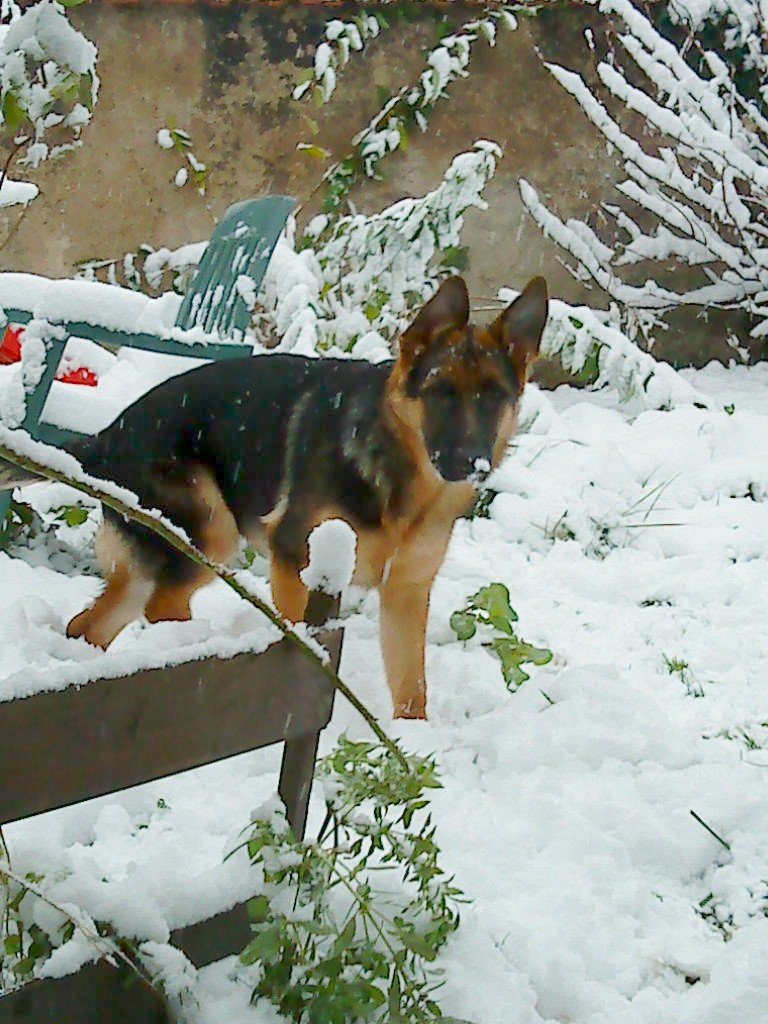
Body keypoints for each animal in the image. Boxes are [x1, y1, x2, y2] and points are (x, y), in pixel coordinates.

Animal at [18, 276, 548, 716]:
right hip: (210, 531)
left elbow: (411, 688)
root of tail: (105, 434)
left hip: (158, 552)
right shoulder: (294, 557)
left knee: (90, 624)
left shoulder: (406, 595)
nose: (469, 463)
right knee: (161, 607)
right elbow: (294, 634)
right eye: (440, 392)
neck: (399, 471)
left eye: (493, 397)